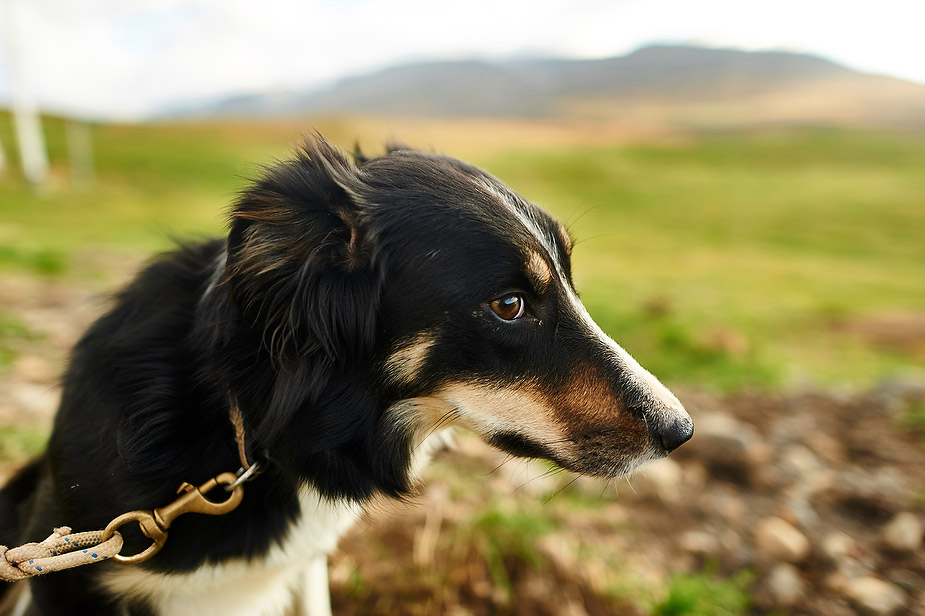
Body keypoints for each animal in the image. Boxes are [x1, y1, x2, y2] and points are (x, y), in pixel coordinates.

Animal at [0, 138, 684, 616]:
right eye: (510, 305)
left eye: (571, 279)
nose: (682, 431)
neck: (255, 435)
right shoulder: (68, 580)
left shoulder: (304, 566)